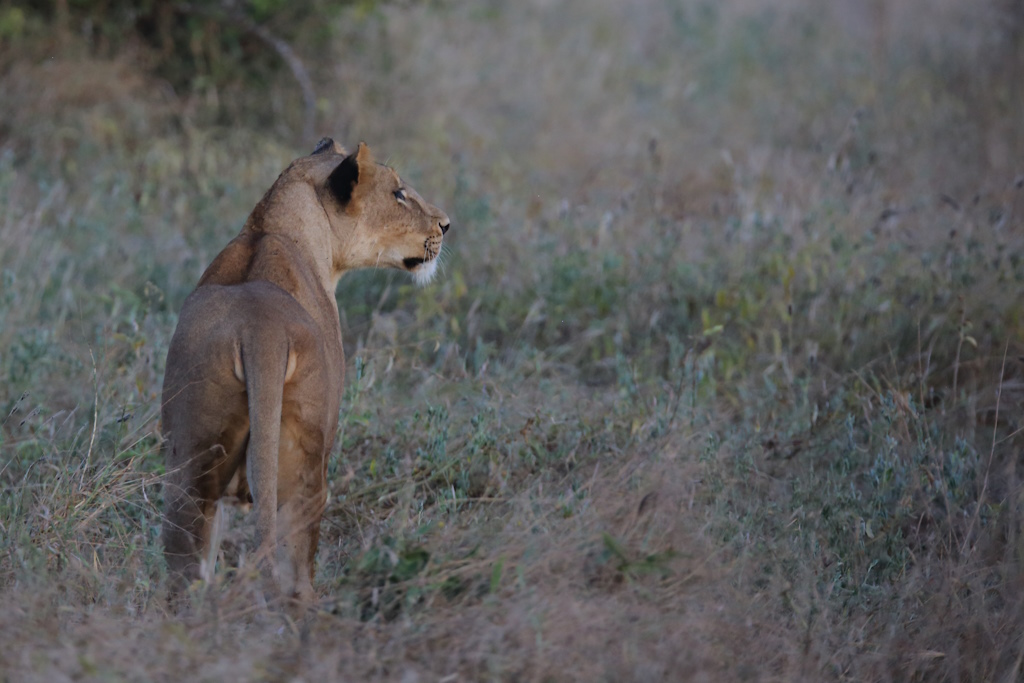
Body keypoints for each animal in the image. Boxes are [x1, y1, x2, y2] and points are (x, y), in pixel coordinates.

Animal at [161, 138, 449, 605]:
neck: (272, 226)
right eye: (399, 193)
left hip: (190, 455)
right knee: (295, 567)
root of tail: (259, 329)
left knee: (185, 561)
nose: (446, 224)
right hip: (306, 463)